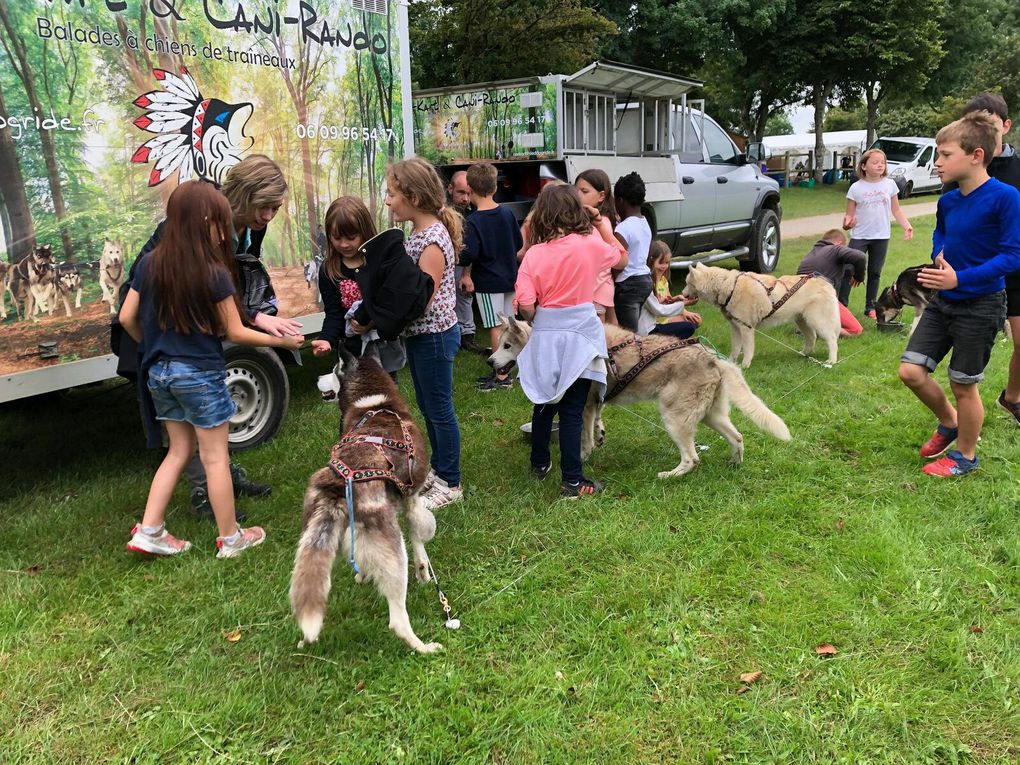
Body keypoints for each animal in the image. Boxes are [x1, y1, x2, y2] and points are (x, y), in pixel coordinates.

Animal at [291, 350, 442, 656]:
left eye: (332, 368)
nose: (317, 377)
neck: (374, 403)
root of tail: (338, 486)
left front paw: (363, 577)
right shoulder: (412, 499)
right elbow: (420, 534)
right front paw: (424, 571)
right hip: (395, 556)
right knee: (397, 620)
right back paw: (423, 647)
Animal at [489, 318, 791, 479]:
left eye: (507, 346)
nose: (490, 361)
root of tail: (712, 358)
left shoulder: (582, 407)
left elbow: (583, 439)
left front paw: (584, 455)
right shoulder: (595, 403)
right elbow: (597, 426)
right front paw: (599, 437)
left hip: (674, 418)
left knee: (692, 458)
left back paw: (670, 476)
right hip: (710, 416)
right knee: (737, 437)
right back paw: (734, 465)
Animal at [681, 263, 840, 369]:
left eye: (687, 283)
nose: (682, 294)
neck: (727, 286)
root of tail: (827, 284)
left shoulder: (746, 328)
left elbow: (747, 349)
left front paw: (745, 365)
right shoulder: (735, 328)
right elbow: (735, 348)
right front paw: (731, 363)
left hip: (818, 321)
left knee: (832, 340)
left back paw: (831, 361)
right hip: (802, 320)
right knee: (811, 337)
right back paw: (804, 354)